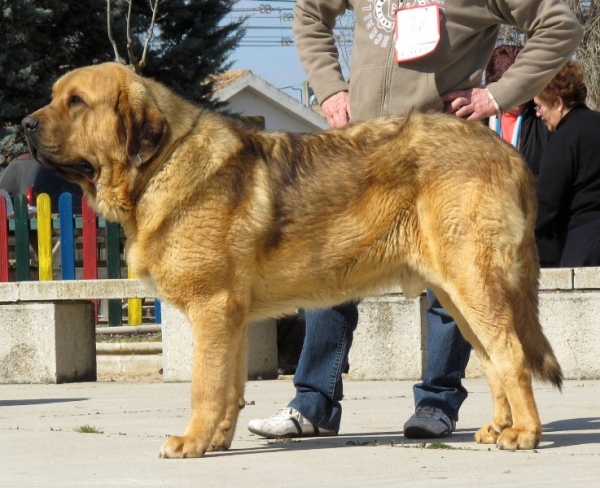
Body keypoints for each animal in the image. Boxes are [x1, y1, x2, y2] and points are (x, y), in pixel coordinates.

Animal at [21, 62, 560, 458]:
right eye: (55, 96)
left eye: (76, 102)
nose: (24, 124)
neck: (160, 163)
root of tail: (508, 154)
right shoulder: (232, 317)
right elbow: (230, 384)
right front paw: (218, 439)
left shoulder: (212, 307)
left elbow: (204, 385)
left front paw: (192, 442)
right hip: (458, 292)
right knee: (491, 360)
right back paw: (497, 427)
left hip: (474, 282)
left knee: (511, 356)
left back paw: (525, 434)